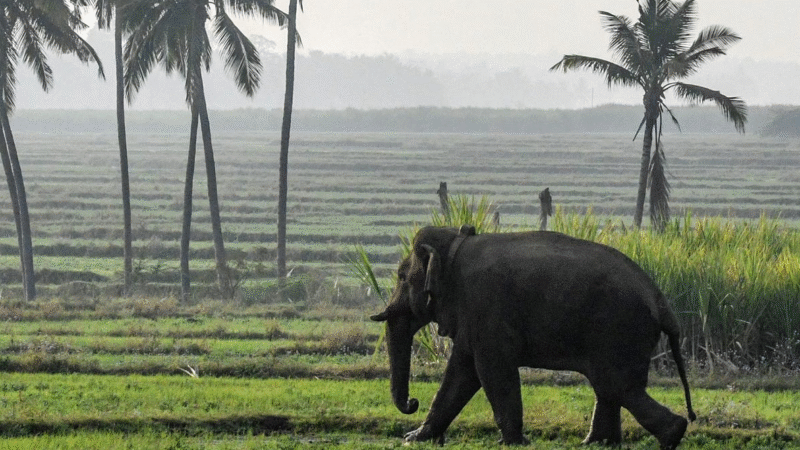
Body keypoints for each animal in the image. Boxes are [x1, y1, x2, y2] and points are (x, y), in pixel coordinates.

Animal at [370, 225, 696, 449]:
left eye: (401, 277)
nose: (412, 402)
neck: (456, 241)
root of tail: (662, 303)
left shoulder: (485, 305)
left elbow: (490, 369)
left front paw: (513, 443)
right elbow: (462, 372)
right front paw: (414, 438)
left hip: (620, 328)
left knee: (616, 385)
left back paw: (671, 435)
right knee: (611, 387)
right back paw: (597, 444)